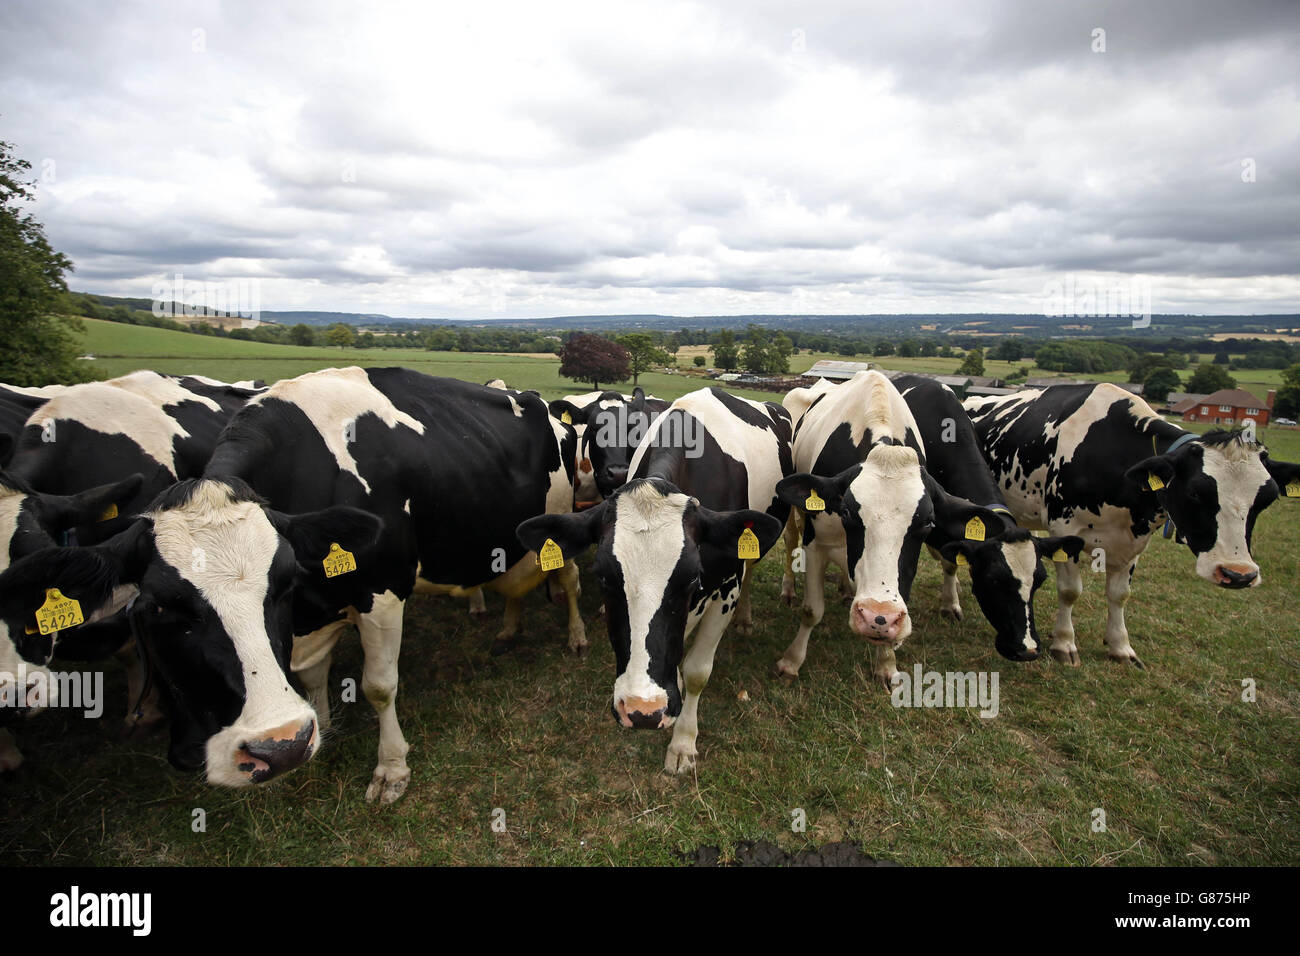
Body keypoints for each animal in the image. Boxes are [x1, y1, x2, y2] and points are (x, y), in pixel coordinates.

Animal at [0, 367, 588, 802]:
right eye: (161, 609)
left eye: (278, 583)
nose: (275, 747)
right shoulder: (312, 609)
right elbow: (309, 673)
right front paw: (318, 733)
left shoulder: (382, 592)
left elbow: (379, 685)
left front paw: (391, 770)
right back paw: (507, 631)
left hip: (556, 531)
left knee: (569, 581)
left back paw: (576, 636)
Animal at [518, 386, 790, 773]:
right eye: (603, 578)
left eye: (692, 579)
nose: (641, 711)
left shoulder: (725, 587)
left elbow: (697, 671)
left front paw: (683, 743)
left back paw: (745, 618)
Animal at [773, 371, 1007, 688]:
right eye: (847, 511)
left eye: (927, 522)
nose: (876, 616)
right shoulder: (815, 541)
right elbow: (812, 611)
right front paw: (791, 661)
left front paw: (886, 665)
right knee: (790, 540)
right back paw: (789, 589)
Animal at [963, 383, 1300, 667]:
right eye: (1195, 492)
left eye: (1267, 499)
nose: (1238, 574)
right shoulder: (1065, 528)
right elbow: (1070, 591)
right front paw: (1065, 644)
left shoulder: (1134, 540)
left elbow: (1120, 594)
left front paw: (1120, 647)